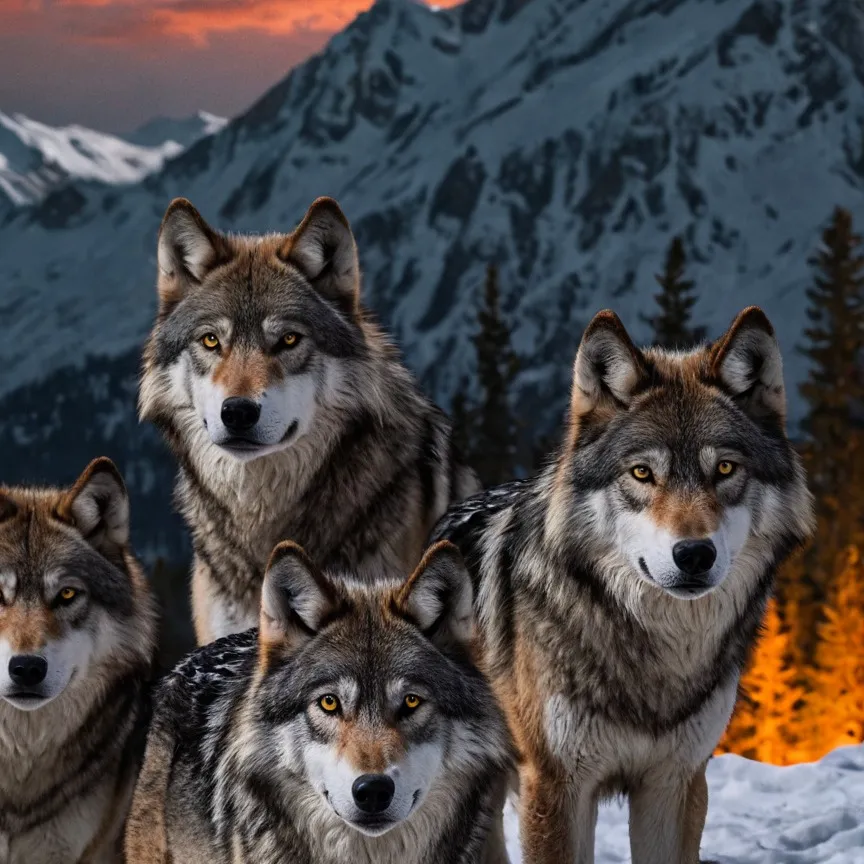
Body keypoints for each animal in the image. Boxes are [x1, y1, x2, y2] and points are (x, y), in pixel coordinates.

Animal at [431, 307, 815, 864]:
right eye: (641, 473)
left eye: (724, 468)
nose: (694, 554)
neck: (659, 655)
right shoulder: (556, 786)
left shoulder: (674, 783)